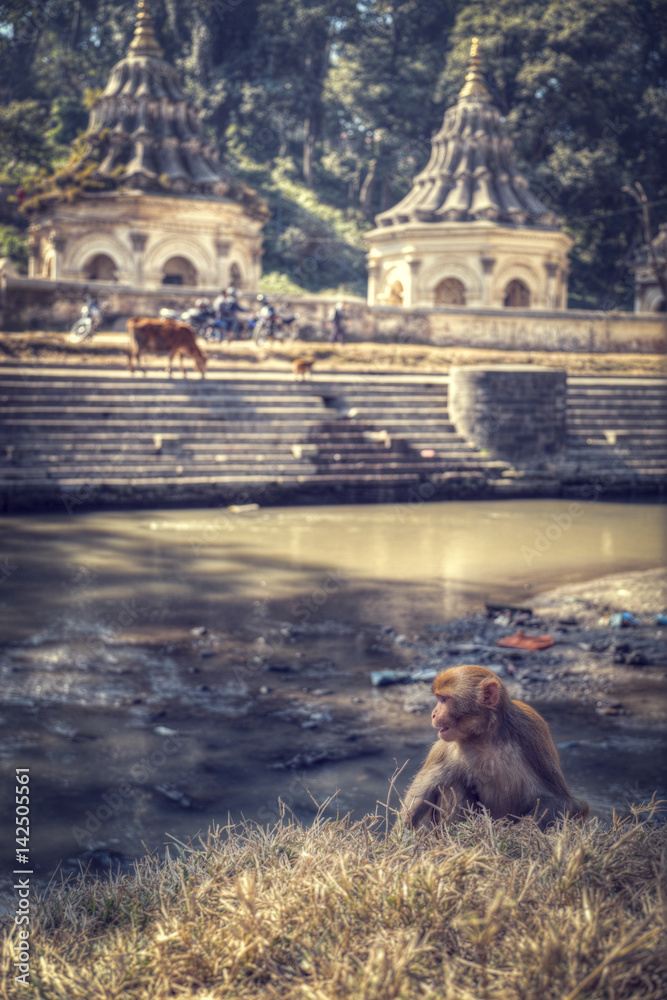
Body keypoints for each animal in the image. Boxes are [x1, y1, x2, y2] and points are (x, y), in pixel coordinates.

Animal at [400, 665, 589, 831]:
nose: (433, 713)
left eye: (444, 699)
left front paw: (518, 835)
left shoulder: (531, 732)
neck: (485, 737)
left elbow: (557, 799)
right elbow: (424, 791)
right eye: (439, 699)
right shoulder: (447, 748)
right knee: (453, 785)